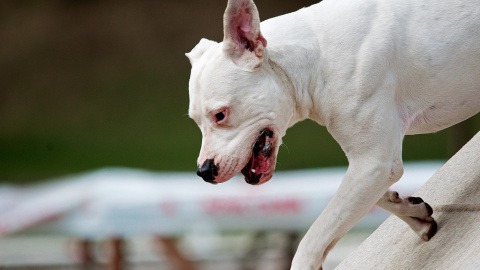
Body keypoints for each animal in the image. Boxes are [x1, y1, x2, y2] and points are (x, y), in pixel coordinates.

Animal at [187, 0, 480, 268]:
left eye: (220, 114)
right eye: (194, 120)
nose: (204, 171)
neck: (314, 59)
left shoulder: (374, 163)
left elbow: (313, 240)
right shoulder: (371, 165)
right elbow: (358, 200)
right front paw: (413, 212)